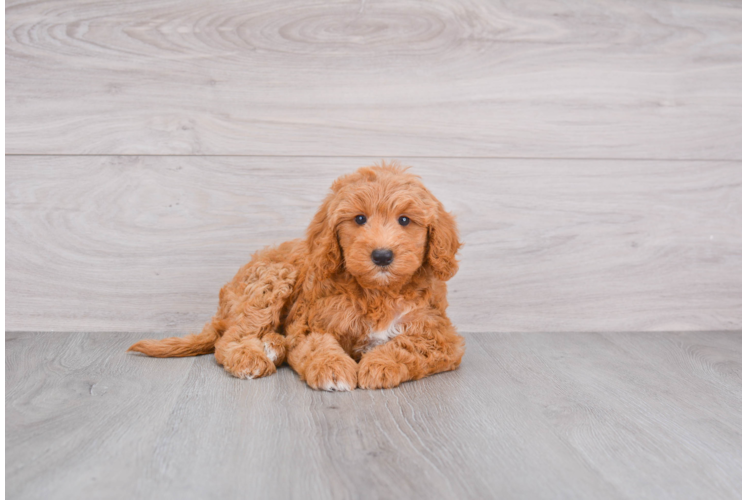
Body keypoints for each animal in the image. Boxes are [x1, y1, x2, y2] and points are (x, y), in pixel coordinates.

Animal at [131, 164, 464, 390]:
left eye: (405, 220)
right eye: (359, 219)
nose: (382, 256)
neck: (377, 291)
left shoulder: (440, 334)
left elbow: (407, 345)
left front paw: (379, 365)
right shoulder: (310, 323)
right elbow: (317, 344)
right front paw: (333, 370)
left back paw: (273, 345)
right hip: (273, 277)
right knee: (231, 338)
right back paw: (251, 356)